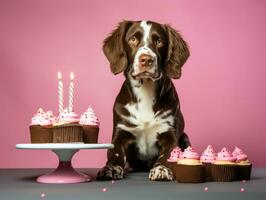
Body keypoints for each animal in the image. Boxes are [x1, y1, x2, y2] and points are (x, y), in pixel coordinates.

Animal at [97, 20, 191, 181]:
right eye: (132, 39)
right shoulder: (121, 132)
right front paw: (111, 168)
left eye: (159, 41)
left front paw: (161, 169)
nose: (146, 59)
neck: (145, 91)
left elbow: (168, 154)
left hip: (185, 138)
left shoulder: (170, 133)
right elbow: (115, 154)